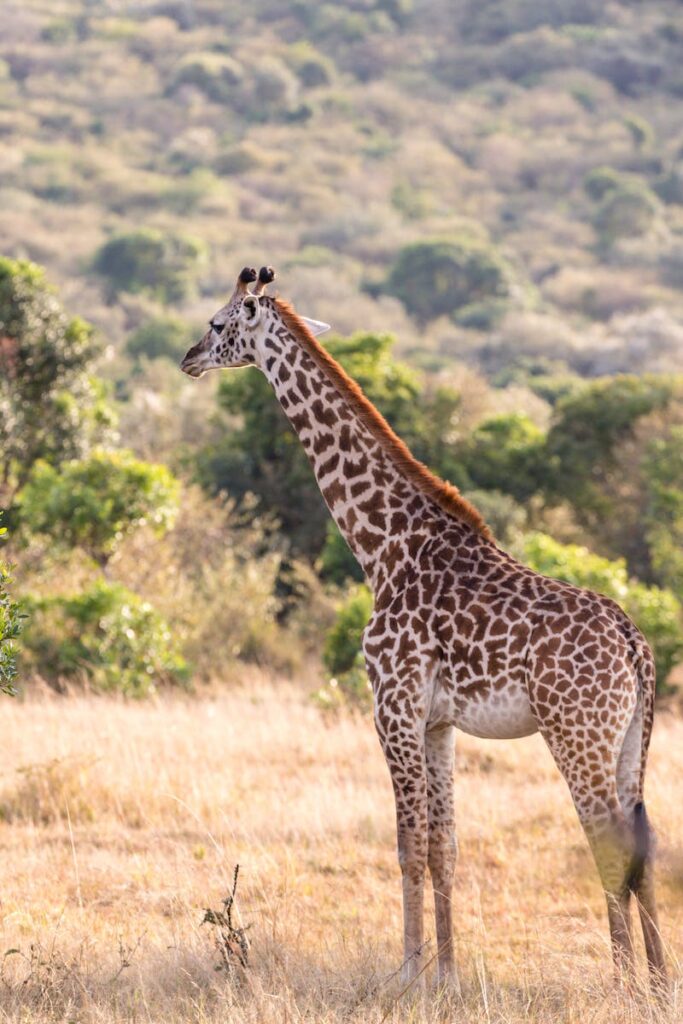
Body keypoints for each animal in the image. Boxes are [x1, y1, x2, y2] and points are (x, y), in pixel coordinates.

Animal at [181, 268, 667, 995]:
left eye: (217, 324)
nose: (187, 358)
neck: (384, 545)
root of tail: (635, 645)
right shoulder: (438, 722)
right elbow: (446, 847)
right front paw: (448, 973)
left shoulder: (393, 705)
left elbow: (407, 844)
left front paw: (407, 972)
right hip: (631, 737)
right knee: (643, 839)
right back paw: (660, 980)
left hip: (576, 732)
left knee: (607, 839)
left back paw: (623, 981)